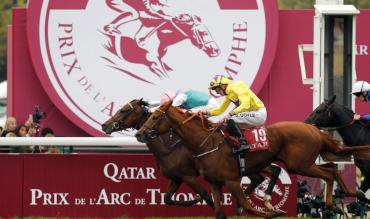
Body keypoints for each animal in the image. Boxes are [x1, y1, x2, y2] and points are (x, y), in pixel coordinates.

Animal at [136, 101, 370, 217]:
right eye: (148, 115)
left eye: (155, 117)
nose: (139, 133)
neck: (206, 143)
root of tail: (314, 129)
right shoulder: (215, 182)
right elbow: (220, 212)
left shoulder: (231, 181)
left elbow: (248, 207)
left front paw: (273, 211)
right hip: (302, 163)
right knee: (332, 168)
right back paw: (347, 197)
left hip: (299, 164)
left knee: (328, 173)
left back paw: (335, 203)